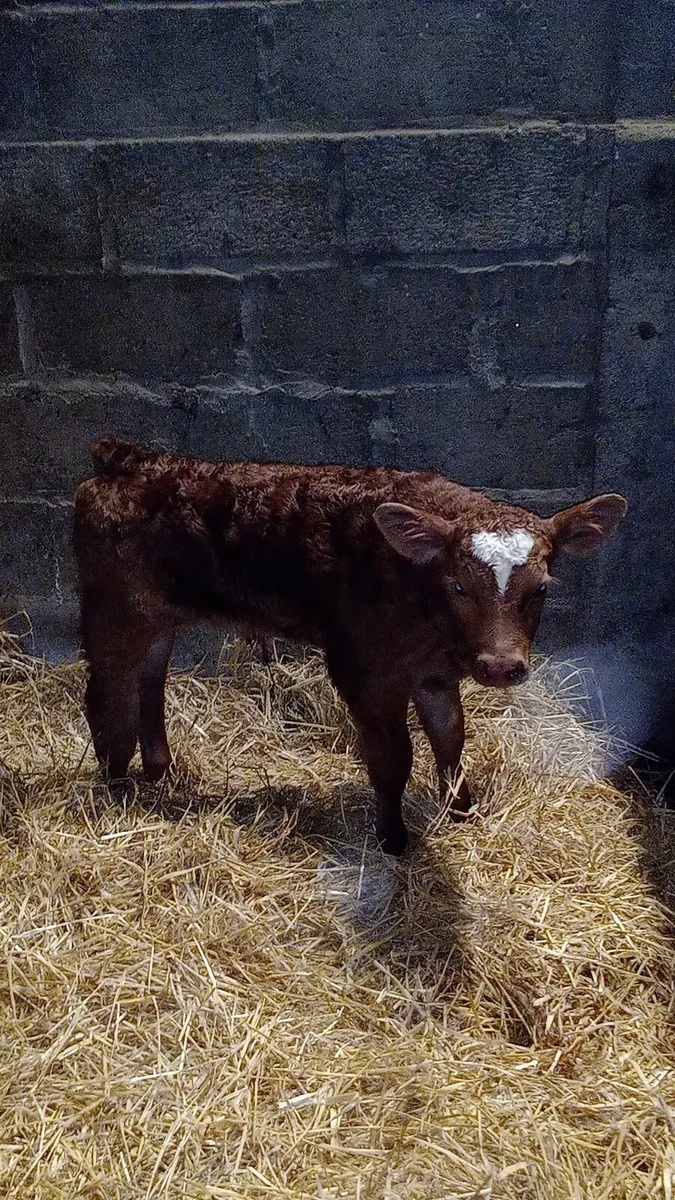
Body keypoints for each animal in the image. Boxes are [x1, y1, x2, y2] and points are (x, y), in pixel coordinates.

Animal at [74, 437, 627, 855]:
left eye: (542, 589)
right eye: (459, 585)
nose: (500, 665)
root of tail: (132, 458)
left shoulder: (434, 672)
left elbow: (451, 740)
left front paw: (462, 811)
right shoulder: (365, 670)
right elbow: (394, 757)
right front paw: (393, 841)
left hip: (158, 619)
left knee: (148, 682)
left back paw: (159, 771)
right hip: (115, 611)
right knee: (104, 693)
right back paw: (117, 785)